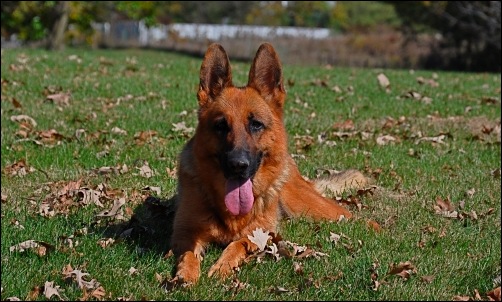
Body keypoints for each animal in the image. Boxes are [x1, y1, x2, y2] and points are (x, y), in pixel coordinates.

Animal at [171, 42, 366, 286]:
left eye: (256, 124)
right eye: (221, 126)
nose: (238, 165)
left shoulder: (261, 232)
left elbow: (238, 243)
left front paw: (223, 266)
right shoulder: (184, 232)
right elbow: (187, 253)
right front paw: (186, 273)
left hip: (311, 208)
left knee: (352, 217)